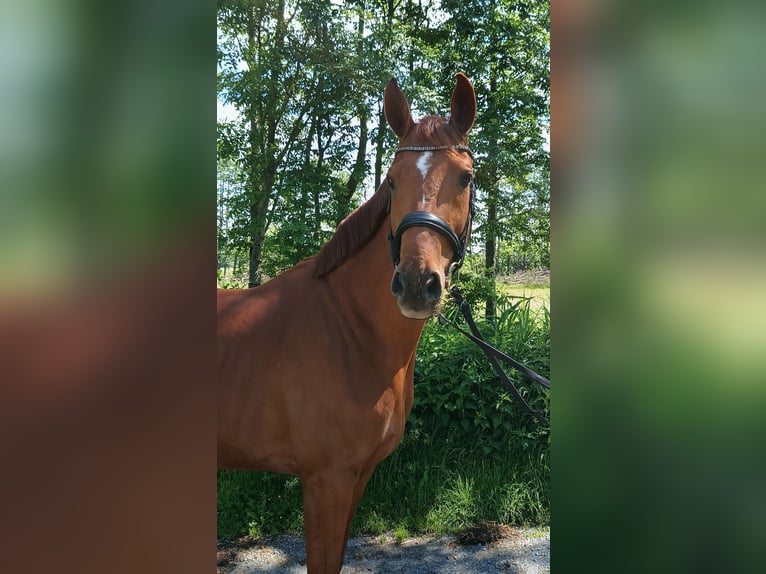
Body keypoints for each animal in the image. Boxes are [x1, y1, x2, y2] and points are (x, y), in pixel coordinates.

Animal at [219, 74, 476, 572]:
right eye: (392, 181)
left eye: (466, 177)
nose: (416, 284)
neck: (349, 332)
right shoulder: (326, 480)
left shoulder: (357, 476)